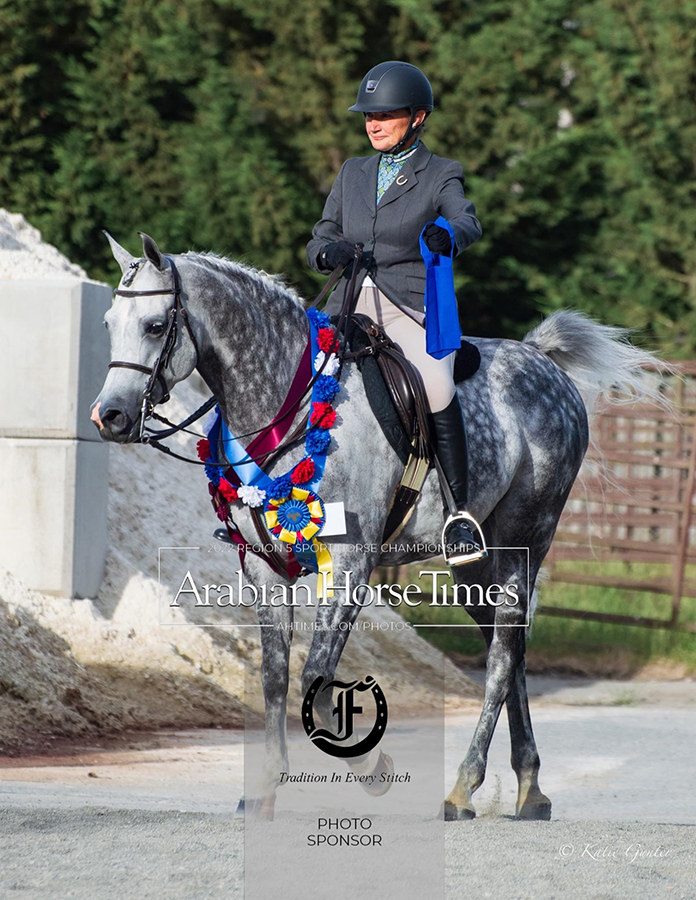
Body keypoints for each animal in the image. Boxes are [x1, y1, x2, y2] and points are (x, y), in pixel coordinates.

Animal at [91, 232, 656, 824]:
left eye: (156, 325)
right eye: (108, 321)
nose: (109, 417)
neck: (292, 408)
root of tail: (541, 361)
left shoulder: (348, 564)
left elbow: (315, 675)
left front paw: (372, 770)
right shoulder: (266, 570)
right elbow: (274, 676)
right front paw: (266, 788)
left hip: (528, 536)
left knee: (503, 654)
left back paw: (463, 787)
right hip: (474, 565)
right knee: (512, 647)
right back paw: (530, 788)